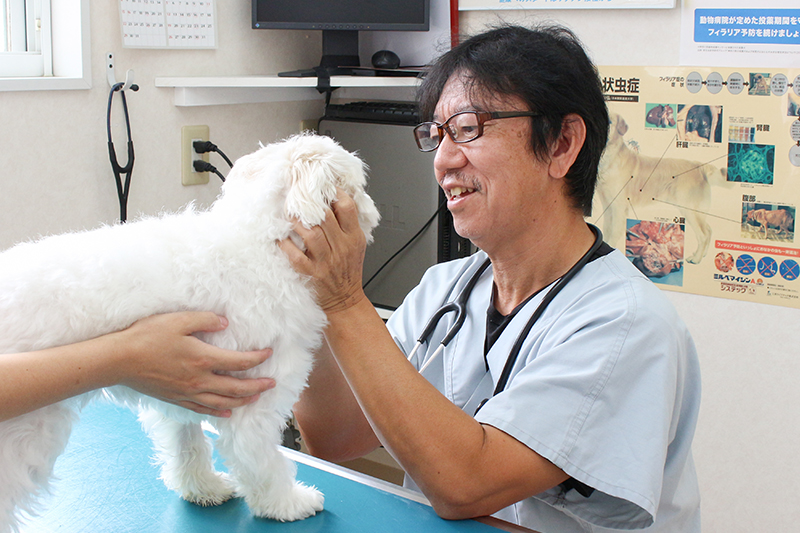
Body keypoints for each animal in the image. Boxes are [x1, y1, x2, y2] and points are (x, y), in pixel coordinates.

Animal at [0, 132, 382, 528]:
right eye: (359, 187)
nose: (374, 211)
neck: (260, 241)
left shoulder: (180, 394)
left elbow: (188, 446)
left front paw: (203, 488)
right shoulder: (257, 395)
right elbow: (262, 461)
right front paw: (285, 503)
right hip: (23, 433)